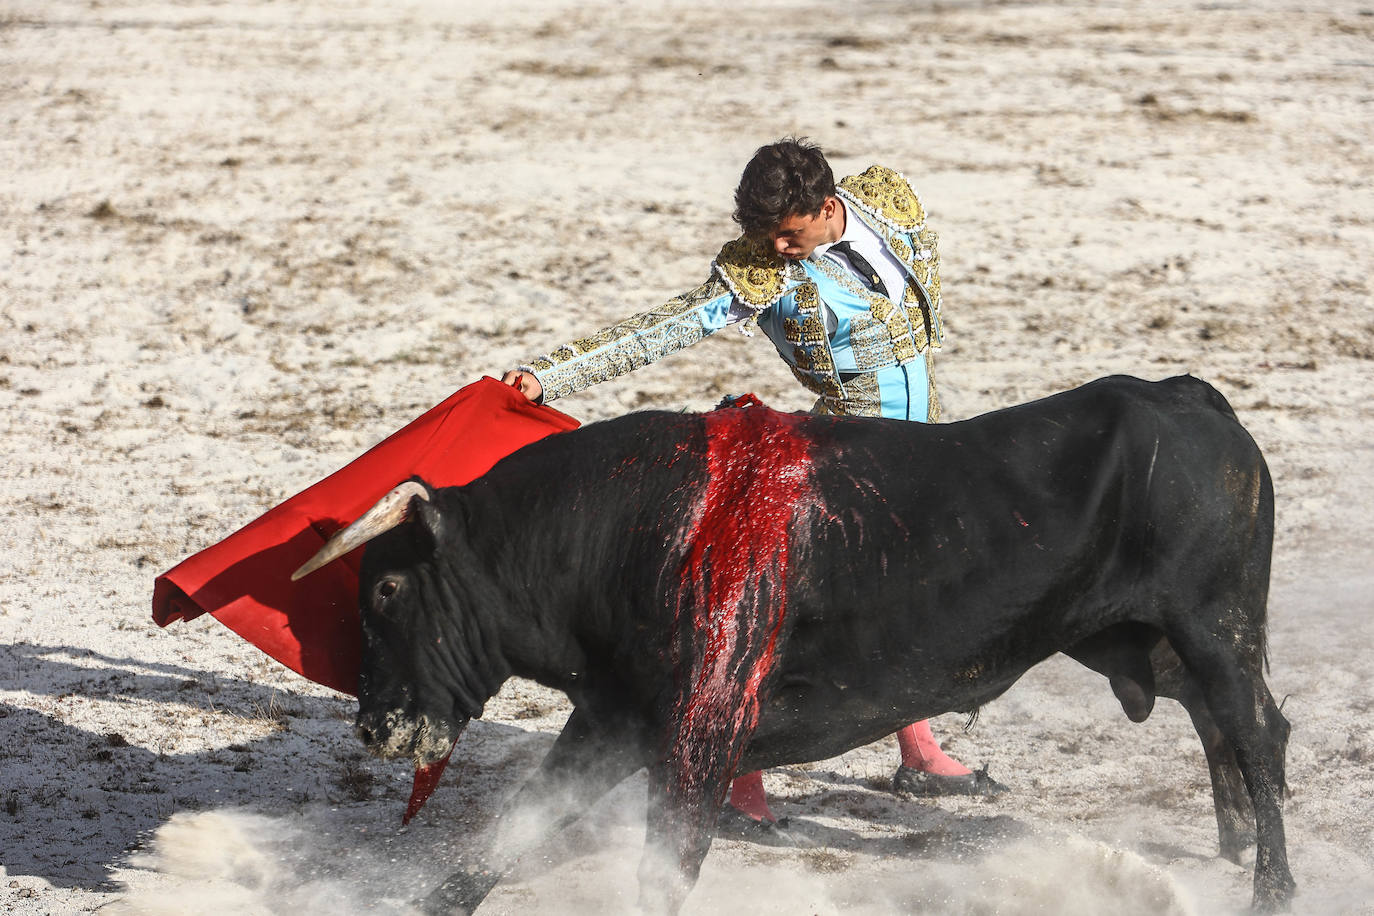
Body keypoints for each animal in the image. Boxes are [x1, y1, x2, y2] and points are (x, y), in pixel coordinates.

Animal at [318, 376, 1286, 911]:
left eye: (390, 590)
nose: (371, 727)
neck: (620, 531)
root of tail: (1185, 396)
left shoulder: (699, 732)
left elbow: (664, 868)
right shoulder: (610, 719)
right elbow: (510, 832)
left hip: (1215, 623)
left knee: (1253, 730)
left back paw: (1272, 888)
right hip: (1139, 638)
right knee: (1227, 722)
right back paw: (1235, 842)